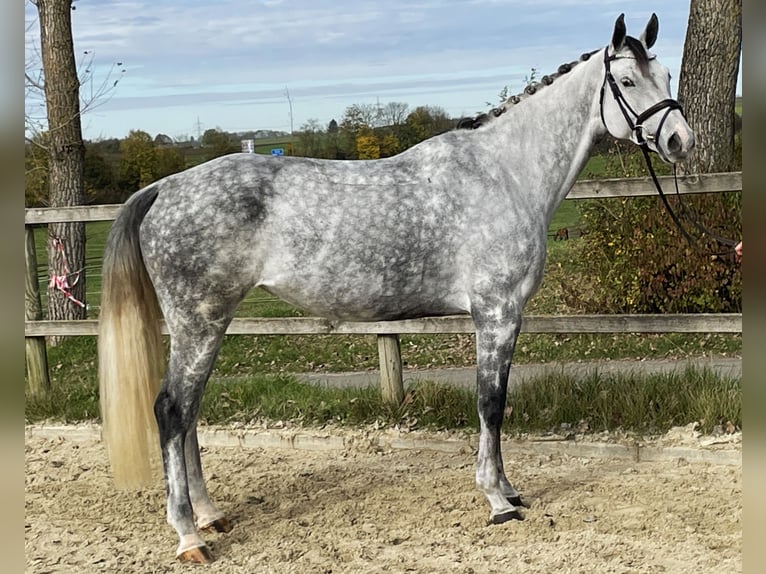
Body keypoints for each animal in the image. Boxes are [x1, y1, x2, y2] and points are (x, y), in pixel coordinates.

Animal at [97, 12, 696, 564]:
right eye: (628, 81)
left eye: (666, 73)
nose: (679, 141)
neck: (506, 172)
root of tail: (163, 187)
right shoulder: (496, 312)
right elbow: (491, 401)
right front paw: (496, 501)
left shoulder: (506, 315)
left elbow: (496, 403)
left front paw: (507, 491)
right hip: (199, 321)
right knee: (172, 411)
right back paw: (189, 536)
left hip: (207, 324)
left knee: (190, 414)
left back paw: (210, 515)